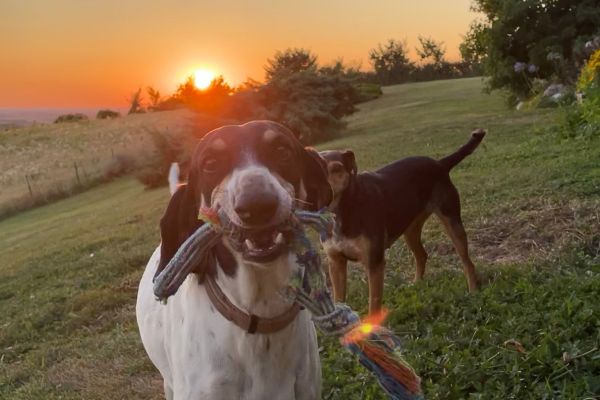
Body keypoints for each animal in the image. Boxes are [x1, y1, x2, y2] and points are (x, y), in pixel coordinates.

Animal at [322, 130, 486, 314]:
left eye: (336, 168)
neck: (343, 209)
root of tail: (439, 163)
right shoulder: (335, 262)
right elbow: (338, 300)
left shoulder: (374, 263)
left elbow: (373, 305)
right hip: (411, 230)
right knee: (422, 255)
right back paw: (416, 285)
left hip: (452, 221)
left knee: (467, 262)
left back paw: (473, 291)